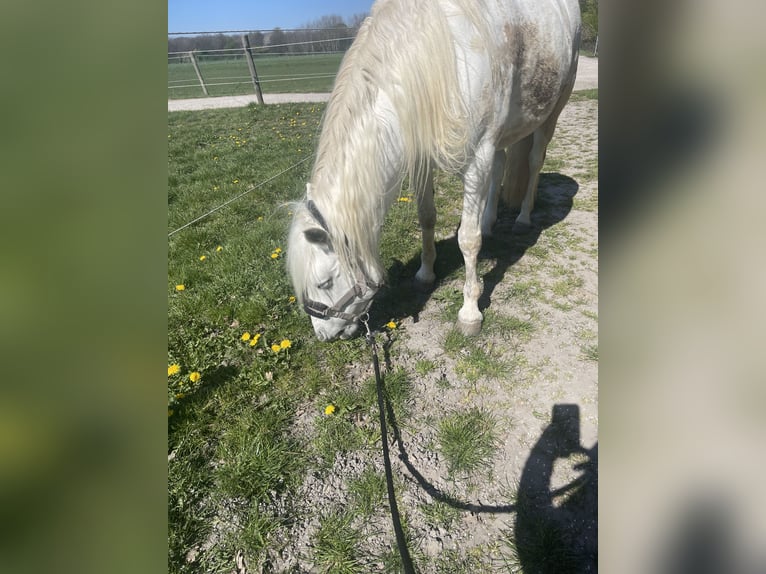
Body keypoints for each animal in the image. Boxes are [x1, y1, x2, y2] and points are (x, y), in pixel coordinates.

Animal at [287, 0, 581, 341]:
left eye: (324, 283)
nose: (324, 336)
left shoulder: (477, 157)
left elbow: (468, 239)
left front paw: (470, 312)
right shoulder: (423, 159)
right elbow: (426, 217)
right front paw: (426, 273)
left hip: (553, 110)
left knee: (534, 161)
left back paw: (522, 217)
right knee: (500, 166)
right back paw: (489, 220)